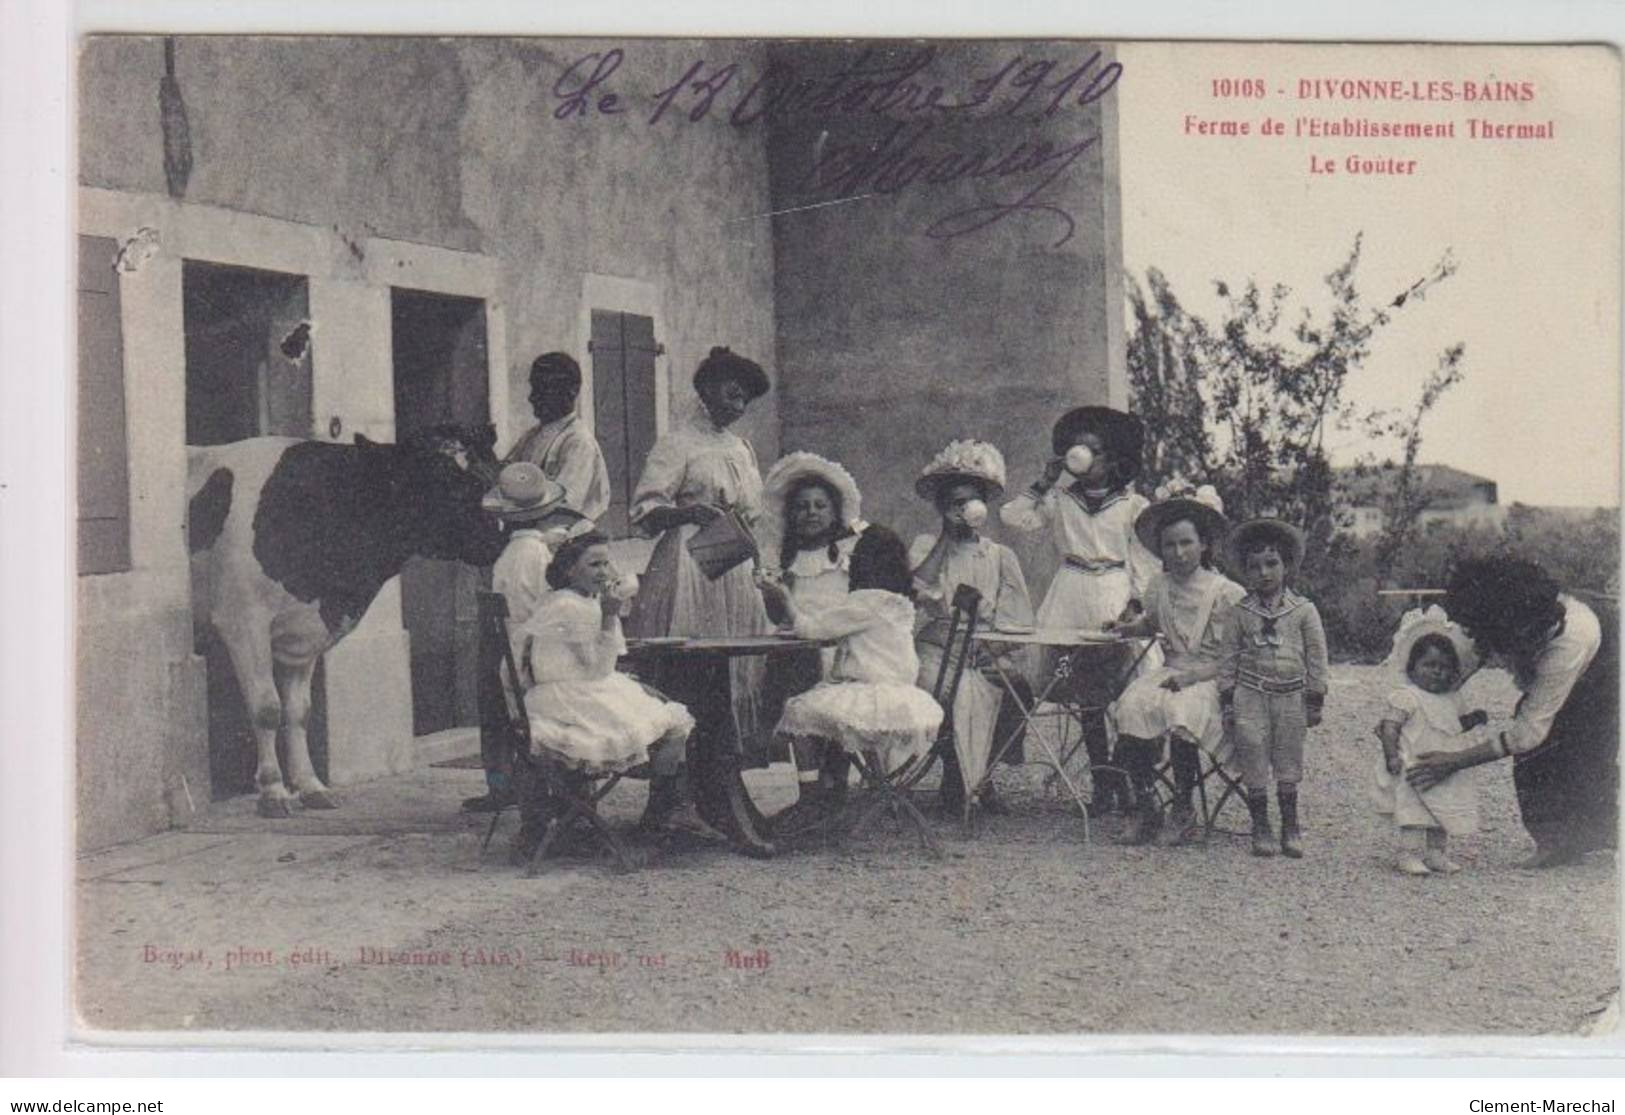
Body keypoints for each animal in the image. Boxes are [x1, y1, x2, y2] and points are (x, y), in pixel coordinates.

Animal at [186, 429, 500, 822]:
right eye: (445, 484)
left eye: (485, 478)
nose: (499, 536)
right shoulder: (242, 620)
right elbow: (268, 708)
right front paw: (273, 792)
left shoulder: (300, 634)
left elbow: (298, 711)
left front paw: (311, 787)